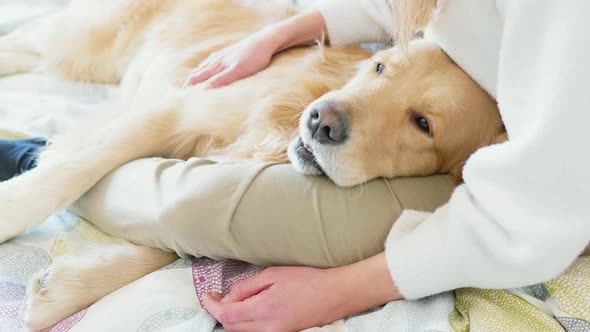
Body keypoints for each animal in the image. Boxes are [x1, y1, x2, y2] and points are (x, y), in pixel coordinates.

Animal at [0, 0, 504, 328]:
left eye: (423, 124)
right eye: (380, 68)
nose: (321, 121)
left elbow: (178, 233)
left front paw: (63, 290)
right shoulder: (176, 111)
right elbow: (71, 172)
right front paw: (12, 212)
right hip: (83, 45)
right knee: (22, 42)